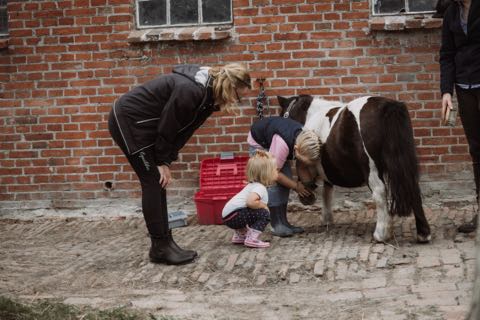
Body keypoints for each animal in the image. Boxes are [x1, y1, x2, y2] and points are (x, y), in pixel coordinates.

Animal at [278, 94, 432, 242]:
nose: (306, 199)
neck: (311, 116)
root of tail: (388, 106)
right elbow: (327, 192)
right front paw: (327, 220)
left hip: (371, 168)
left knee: (379, 193)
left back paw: (381, 235)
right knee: (413, 188)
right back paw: (423, 234)